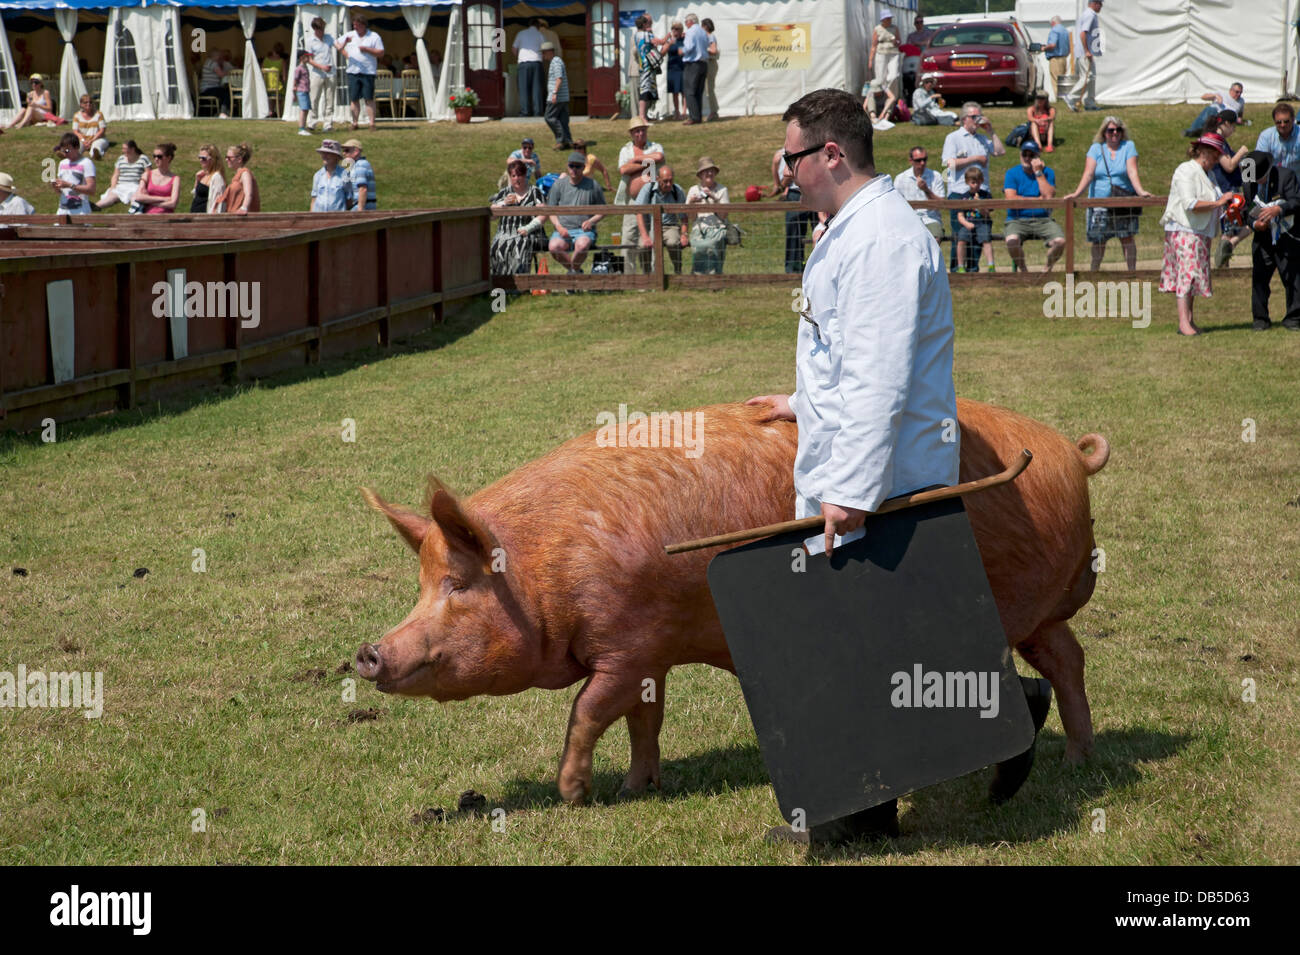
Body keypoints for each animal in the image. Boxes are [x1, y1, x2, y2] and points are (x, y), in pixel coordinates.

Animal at [356, 397, 1107, 805]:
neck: (548, 566)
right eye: (421, 584)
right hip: (1037, 609)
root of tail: (1072, 453)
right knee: (1068, 657)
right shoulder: (648, 650)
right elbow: (643, 721)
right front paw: (637, 788)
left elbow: (588, 711)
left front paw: (575, 795)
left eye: (458, 584)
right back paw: (1077, 760)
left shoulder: (625, 646)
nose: (367, 652)